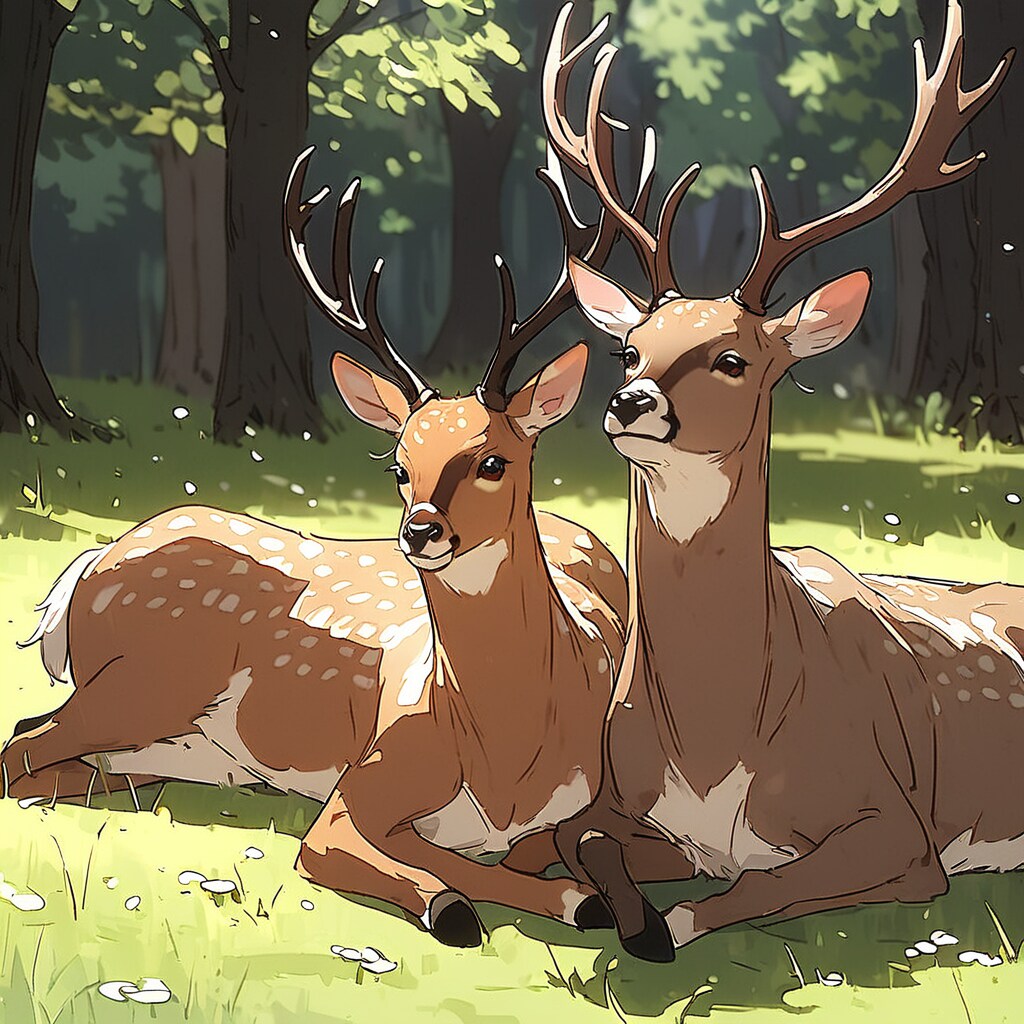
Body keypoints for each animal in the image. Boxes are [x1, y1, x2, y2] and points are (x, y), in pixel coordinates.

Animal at [2, 21, 649, 941]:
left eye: (494, 458)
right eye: (398, 462)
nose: (421, 530)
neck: (508, 765)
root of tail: (90, 565)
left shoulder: (579, 805)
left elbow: (528, 857)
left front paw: (586, 896)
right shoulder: (359, 784)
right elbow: (392, 859)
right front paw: (483, 901)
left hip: (158, 727)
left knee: (65, 760)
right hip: (144, 679)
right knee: (20, 743)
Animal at [539, 0, 1019, 962]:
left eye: (734, 359)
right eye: (628, 348)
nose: (629, 402)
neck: (715, 748)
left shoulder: (899, 828)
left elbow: (757, 884)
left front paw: (664, 926)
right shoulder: (621, 800)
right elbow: (583, 835)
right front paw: (623, 910)